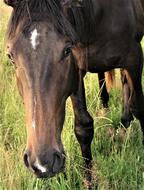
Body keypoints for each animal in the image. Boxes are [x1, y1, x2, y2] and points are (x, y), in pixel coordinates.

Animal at [3, 0, 144, 183]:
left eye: (66, 50)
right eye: (10, 56)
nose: (42, 164)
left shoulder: (134, 58)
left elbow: (139, 107)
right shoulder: (76, 67)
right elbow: (83, 127)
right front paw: (89, 181)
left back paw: (125, 121)